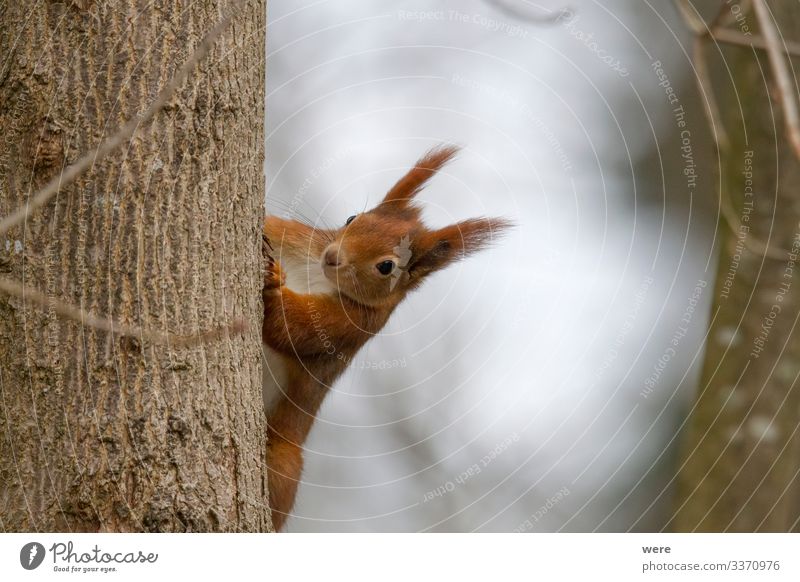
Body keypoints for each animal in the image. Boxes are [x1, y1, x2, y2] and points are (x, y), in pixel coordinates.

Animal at [262, 147, 512, 532]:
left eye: (387, 267)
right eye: (352, 218)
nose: (333, 257)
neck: (316, 273)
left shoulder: (354, 324)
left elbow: (296, 328)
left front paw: (273, 288)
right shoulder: (298, 240)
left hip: (283, 457)